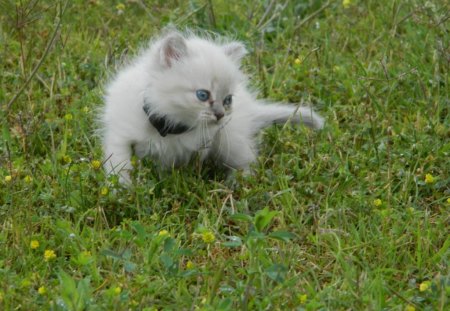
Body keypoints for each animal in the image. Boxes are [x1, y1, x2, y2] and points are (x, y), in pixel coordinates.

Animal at [98, 30, 324, 184]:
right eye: (202, 95)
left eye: (227, 100)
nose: (221, 115)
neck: (167, 126)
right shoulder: (119, 134)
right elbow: (120, 163)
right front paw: (122, 190)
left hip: (230, 139)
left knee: (245, 162)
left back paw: (237, 186)